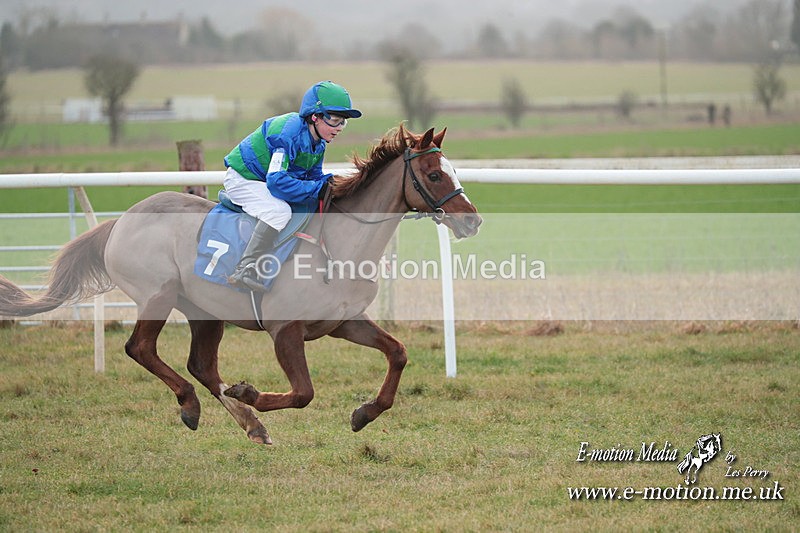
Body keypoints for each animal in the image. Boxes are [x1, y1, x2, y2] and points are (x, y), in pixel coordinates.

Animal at [0, 124, 482, 445]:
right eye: (435, 175)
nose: (472, 220)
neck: (339, 245)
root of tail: (120, 221)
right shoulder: (284, 330)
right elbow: (303, 393)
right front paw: (250, 391)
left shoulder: (344, 322)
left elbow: (397, 353)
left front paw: (364, 413)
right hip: (158, 294)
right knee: (141, 349)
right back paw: (195, 404)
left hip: (204, 311)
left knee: (201, 365)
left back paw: (250, 423)